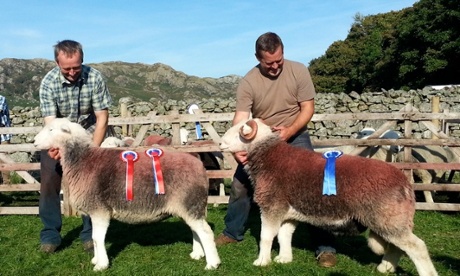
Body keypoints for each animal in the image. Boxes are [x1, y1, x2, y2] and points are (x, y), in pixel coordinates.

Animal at [33, 117, 220, 270]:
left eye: (51, 130)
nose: (34, 142)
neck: (82, 160)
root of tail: (199, 165)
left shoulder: (100, 210)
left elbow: (97, 238)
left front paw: (101, 265)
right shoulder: (94, 211)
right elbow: (94, 238)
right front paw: (96, 259)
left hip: (190, 202)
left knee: (206, 232)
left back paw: (212, 263)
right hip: (187, 206)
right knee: (196, 230)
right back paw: (197, 254)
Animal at [220, 118, 438, 276]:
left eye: (240, 131)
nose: (220, 143)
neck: (268, 157)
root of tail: (405, 183)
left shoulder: (271, 207)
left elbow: (266, 236)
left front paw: (261, 261)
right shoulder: (288, 212)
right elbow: (284, 236)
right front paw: (284, 259)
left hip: (387, 218)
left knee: (416, 247)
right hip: (390, 220)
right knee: (396, 247)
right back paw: (385, 267)